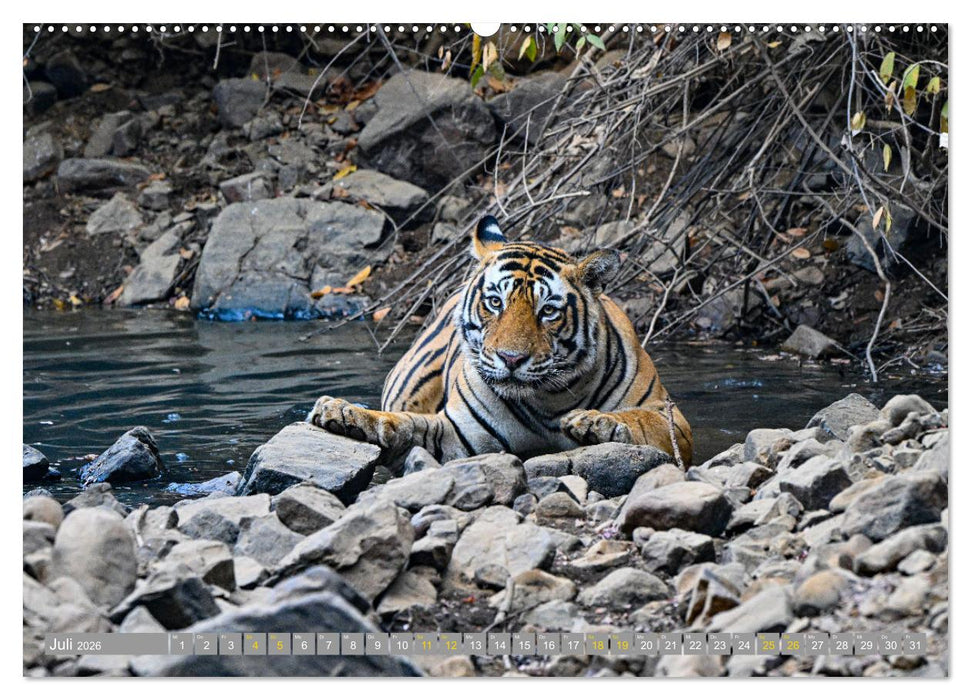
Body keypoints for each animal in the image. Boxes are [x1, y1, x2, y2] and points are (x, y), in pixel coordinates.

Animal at [308, 215, 693, 465]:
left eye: (548, 311)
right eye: (495, 302)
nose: (511, 359)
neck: (549, 399)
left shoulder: (671, 417)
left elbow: (641, 420)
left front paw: (597, 422)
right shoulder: (457, 435)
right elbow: (405, 424)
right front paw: (347, 414)